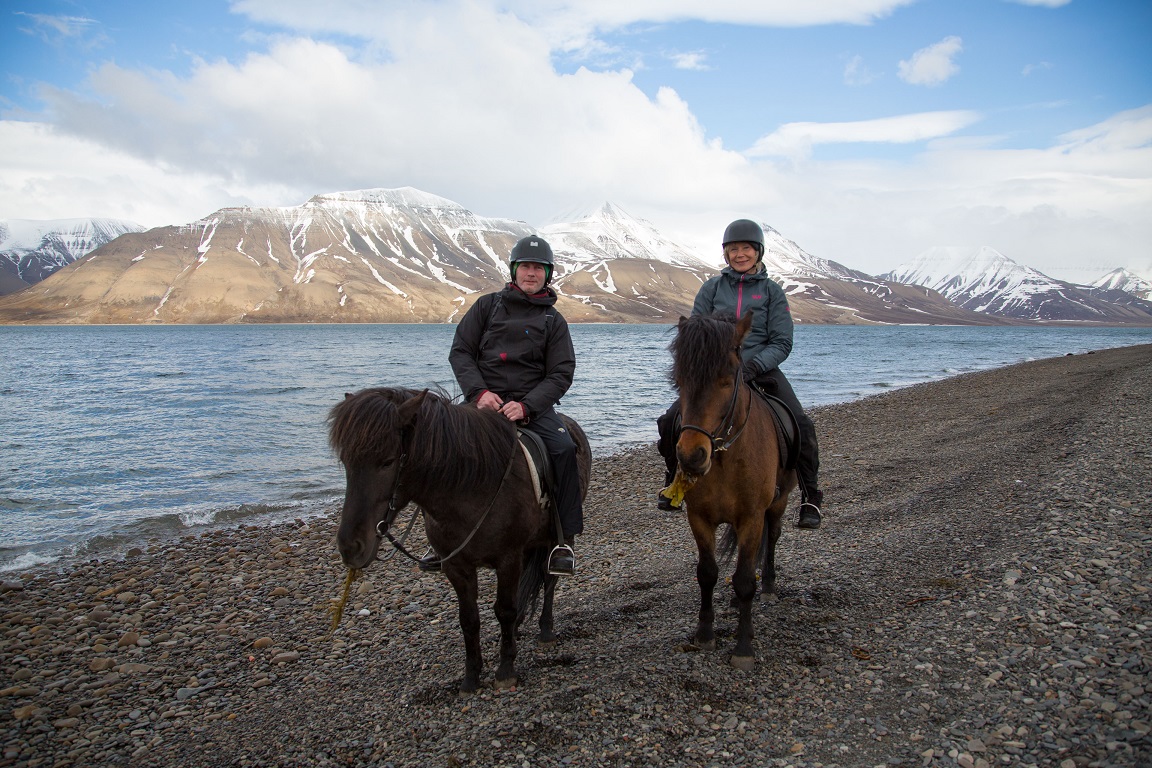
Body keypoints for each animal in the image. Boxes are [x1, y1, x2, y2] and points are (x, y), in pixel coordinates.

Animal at [329, 386, 589, 695]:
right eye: (346, 463)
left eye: (388, 461)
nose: (351, 546)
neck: (471, 487)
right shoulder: (457, 567)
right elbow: (469, 619)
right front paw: (471, 676)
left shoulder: (508, 559)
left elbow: (505, 609)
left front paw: (505, 670)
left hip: (556, 537)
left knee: (549, 581)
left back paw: (546, 629)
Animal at [672, 315, 797, 667]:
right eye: (678, 379)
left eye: (728, 380)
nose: (691, 456)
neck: (726, 457)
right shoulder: (699, 518)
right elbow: (707, 573)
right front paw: (704, 634)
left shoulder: (752, 518)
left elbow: (743, 580)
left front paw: (743, 647)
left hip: (779, 502)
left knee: (773, 537)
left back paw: (768, 585)